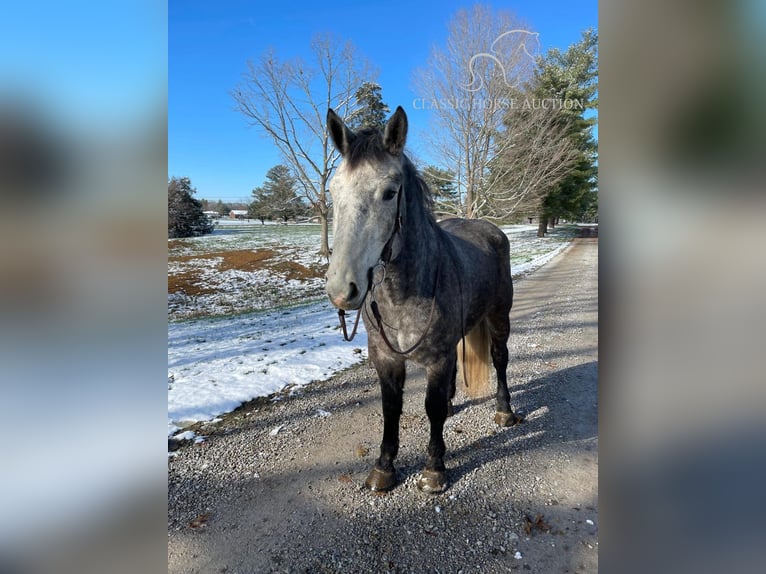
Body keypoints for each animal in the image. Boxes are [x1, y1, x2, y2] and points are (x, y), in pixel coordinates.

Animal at [324, 106, 520, 492]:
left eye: (389, 193)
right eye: (334, 191)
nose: (342, 290)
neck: (403, 295)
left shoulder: (438, 359)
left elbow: (431, 409)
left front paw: (434, 469)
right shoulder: (385, 359)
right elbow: (391, 408)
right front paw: (384, 468)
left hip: (499, 316)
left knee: (500, 359)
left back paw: (504, 411)